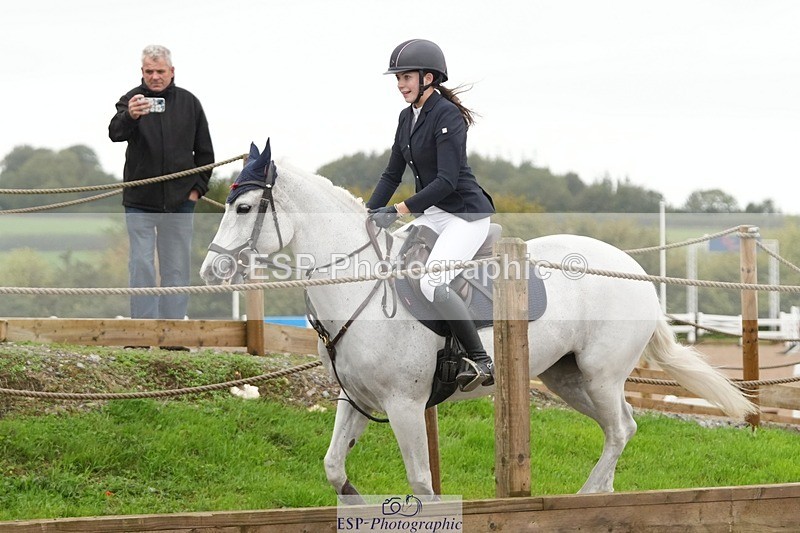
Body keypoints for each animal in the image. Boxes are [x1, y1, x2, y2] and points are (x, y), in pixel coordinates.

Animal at [200, 141, 756, 497]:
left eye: (244, 208)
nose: (211, 271)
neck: (357, 283)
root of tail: (633, 269)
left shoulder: (404, 405)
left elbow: (421, 484)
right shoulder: (354, 397)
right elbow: (334, 467)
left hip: (601, 373)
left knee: (619, 429)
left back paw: (587, 495)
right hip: (568, 377)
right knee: (621, 426)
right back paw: (603, 496)